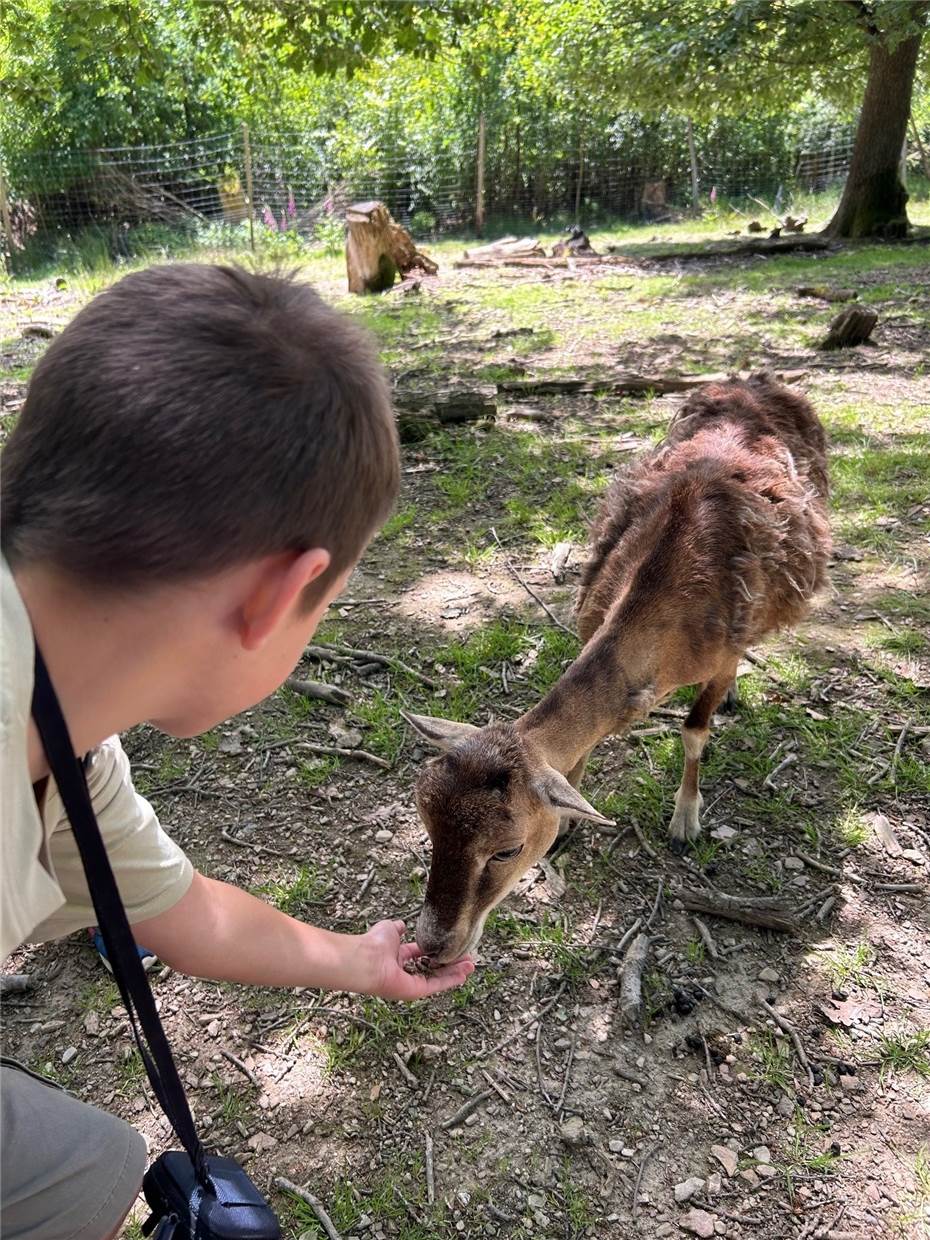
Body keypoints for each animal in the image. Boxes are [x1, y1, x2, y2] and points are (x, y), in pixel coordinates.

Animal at [404, 372, 833, 962]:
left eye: (507, 849)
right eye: (428, 827)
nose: (432, 944)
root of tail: (756, 380)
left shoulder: (723, 650)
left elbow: (694, 730)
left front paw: (684, 820)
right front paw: (570, 823)